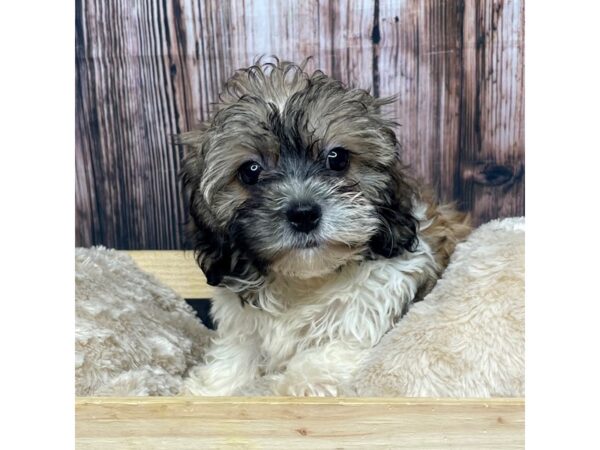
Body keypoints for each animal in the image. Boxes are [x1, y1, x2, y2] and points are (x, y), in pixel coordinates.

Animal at [180, 58, 472, 396]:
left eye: (337, 158)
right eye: (250, 171)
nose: (304, 214)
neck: (306, 280)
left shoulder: (367, 312)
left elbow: (334, 351)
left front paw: (297, 382)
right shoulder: (242, 321)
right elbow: (237, 352)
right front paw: (214, 387)